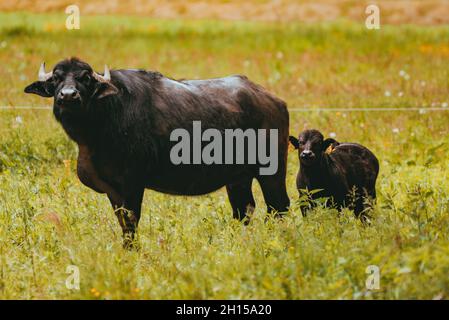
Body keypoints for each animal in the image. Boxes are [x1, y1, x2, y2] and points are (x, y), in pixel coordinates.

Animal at [24, 57, 290, 248]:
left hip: (272, 172)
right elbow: (122, 222)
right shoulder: (112, 190)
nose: (68, 95)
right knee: (244, 210)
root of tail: (274, 101)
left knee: (278, 207)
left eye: (85, 77)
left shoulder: (132, 184)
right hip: (237, 179)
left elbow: (131, 222)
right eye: (56, 78)